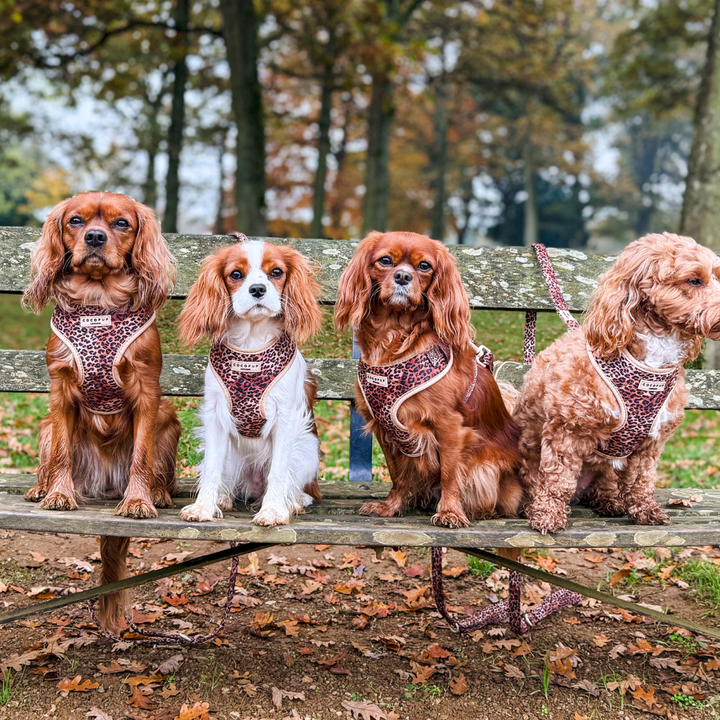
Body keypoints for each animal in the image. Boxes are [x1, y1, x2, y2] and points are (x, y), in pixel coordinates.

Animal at [22, 193, 181, 632]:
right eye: (75, 221)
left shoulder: (148, 392)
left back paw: (158, 492)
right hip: (45, 425)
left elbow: (142, 457)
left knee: (159, 467)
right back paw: (41, 486)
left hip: (168, 418)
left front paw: (139, 500)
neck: (99, 302)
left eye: (122, 223)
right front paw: (59, 493)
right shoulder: (60, 391)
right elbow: (61, 454)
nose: (95, 237)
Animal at [179, 239, 324, 524]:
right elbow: (212, 468)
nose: (257, 289)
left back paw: (293, 502)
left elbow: (278, 471)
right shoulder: (216, 417)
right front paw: (203, 508)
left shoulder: (286, 418)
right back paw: (222, 498)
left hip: (307, 450)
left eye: (276, 272)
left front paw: (273, 511)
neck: (251, 343)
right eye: (236, 274)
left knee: (298, 487)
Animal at [332, 232, 524, 528]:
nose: (402, 276)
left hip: (488, 469)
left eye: (424, 266)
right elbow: (397, 474)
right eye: (385, 261)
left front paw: (450, 512)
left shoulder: (449, 426)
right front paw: (392, 506)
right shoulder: (385, 429)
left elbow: (449, 474)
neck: (393, 334)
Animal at [516, 232, 720, 536]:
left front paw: (645, 510)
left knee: (609, 484)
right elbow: (557, 479)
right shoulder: (567, 429)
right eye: (694, 280)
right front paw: (547, 515)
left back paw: (610, 501)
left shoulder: (651, 442)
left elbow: (641, 480)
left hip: (607, 466)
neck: (651, 364)